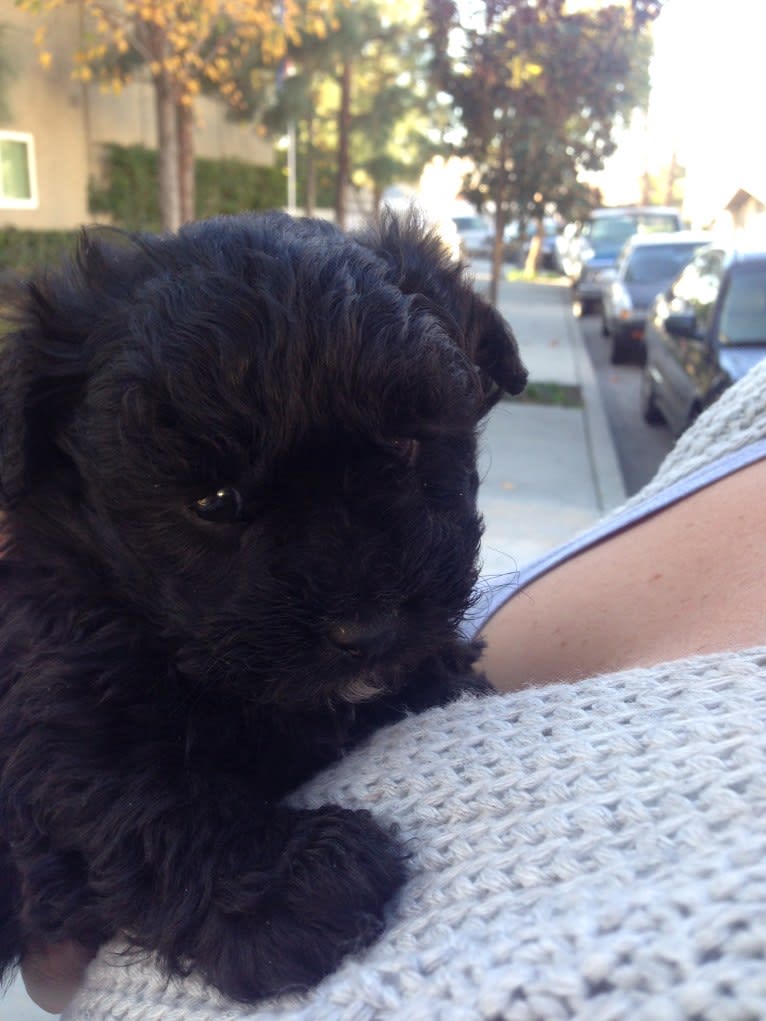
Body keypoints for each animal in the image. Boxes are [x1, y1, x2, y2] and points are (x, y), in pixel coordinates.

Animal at [0, 211, 527, 1000]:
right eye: (215, 500)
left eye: (405, 443)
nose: (368, 631)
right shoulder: (59, 697)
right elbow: (131, 791)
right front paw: (293, 889)